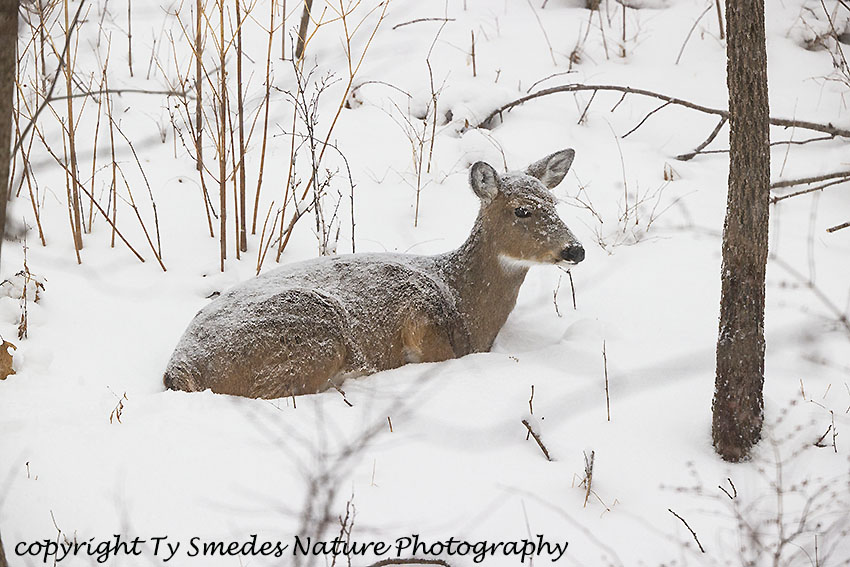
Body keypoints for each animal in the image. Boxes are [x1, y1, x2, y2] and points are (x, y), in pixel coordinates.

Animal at [164, 149, 585, 399]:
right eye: (521, 210)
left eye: (554, 202)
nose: (575, 250)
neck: (461, 300)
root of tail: (181, 368)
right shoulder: (424, 325)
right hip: (314, 340)